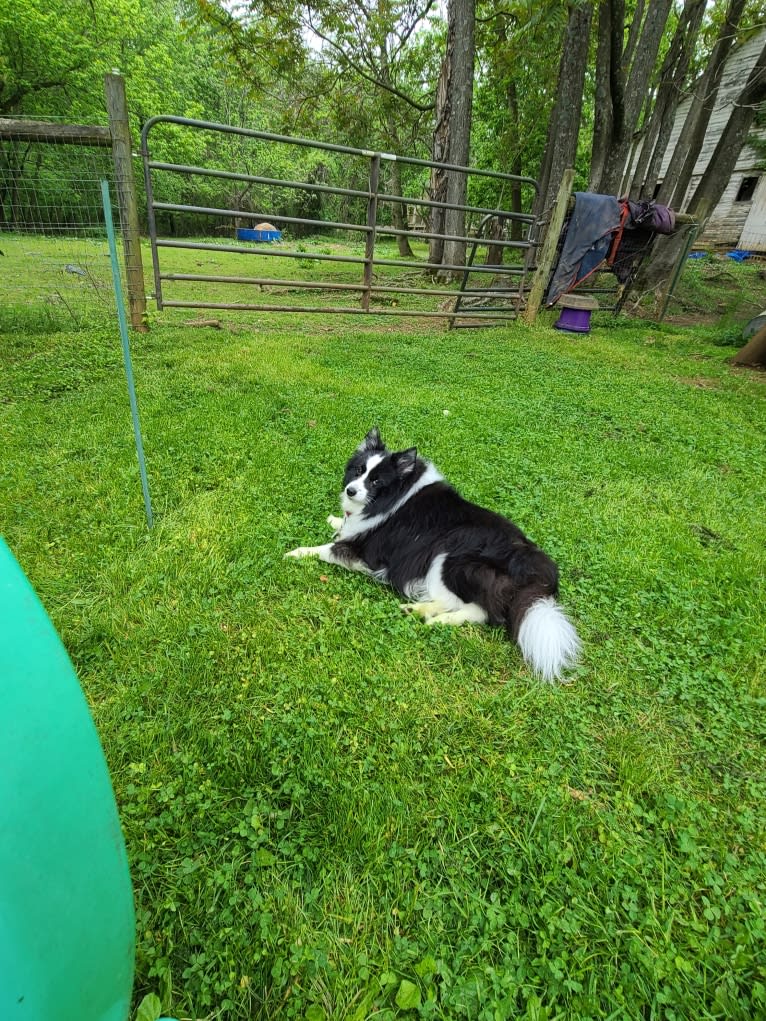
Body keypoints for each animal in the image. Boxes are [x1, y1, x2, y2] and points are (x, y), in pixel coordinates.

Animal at [288, 426, 580, 682]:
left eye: (376, 480)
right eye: (359, 470)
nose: (350, 490)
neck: (395, 495)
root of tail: (534, 567)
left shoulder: (366, 552)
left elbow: (327, 550)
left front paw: (296, 552)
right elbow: (342, 527)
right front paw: (335, 520)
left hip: (448, 557)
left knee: (476, 609)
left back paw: (432, 617)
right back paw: (422, 612)